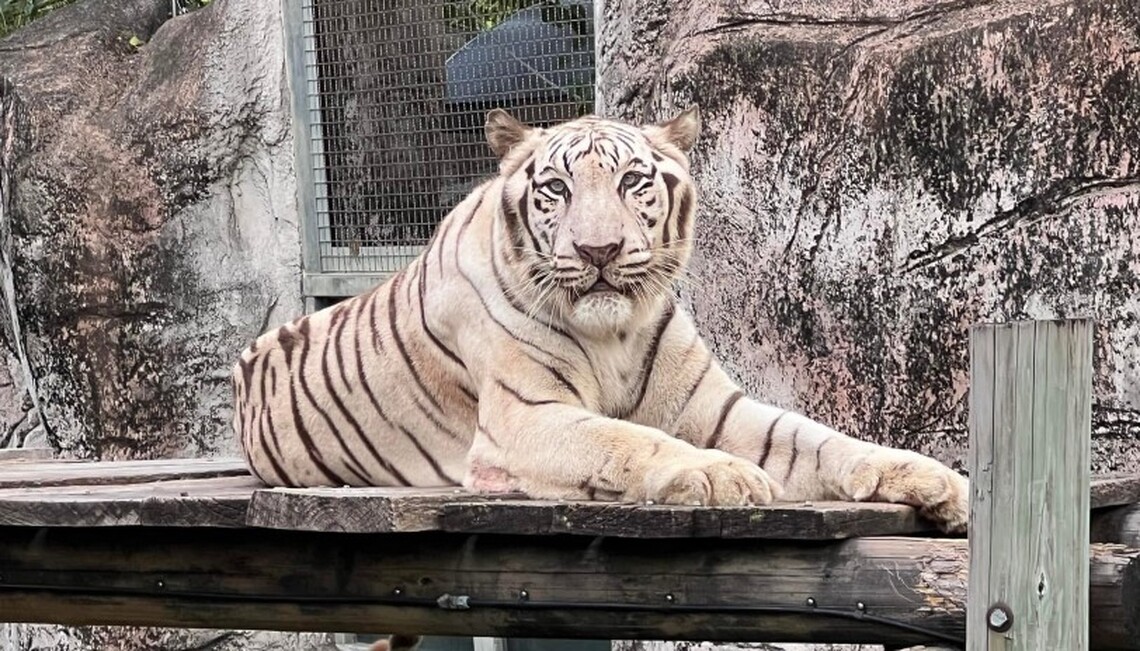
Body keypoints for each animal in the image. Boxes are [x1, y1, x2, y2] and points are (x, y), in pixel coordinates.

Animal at [232, 105, 969, 531]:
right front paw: (723, 475)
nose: (598, 250)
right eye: (556, 188)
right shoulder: (525, 417)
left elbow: (817, 439)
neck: (614, 330)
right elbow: (626, 440)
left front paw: (937, 479)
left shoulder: (715, 409)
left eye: (632, 182)